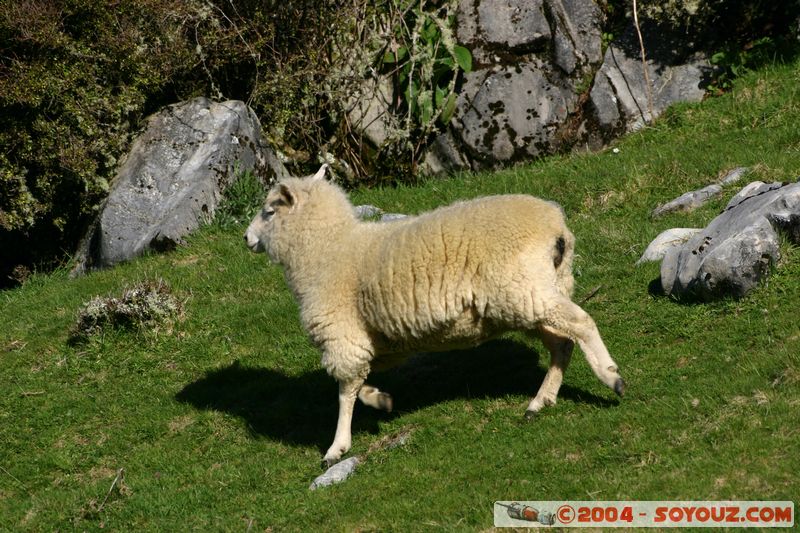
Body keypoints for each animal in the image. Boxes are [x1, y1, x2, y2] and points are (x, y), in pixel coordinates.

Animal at [244, 165, 624, 466]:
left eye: (269, 212)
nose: (246, 238)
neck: (327, 249)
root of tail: (556, 228)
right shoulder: (376, 338)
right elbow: (359, 383)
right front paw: (380, 399)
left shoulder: (342, 334)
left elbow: (345, 391)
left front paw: (337, 447)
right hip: (539, 292)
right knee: (562, 344)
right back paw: (540, 401)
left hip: (523, 292)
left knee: (581, 323)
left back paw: (611, 377)